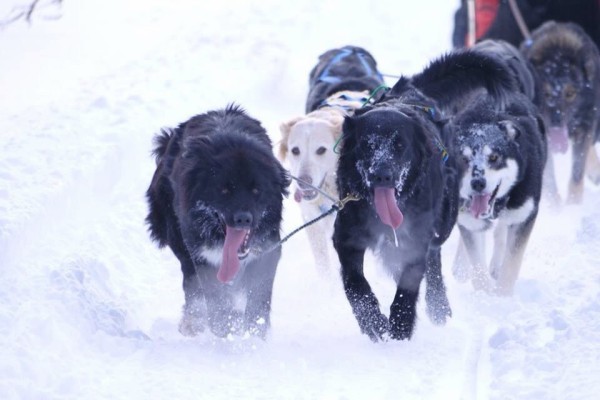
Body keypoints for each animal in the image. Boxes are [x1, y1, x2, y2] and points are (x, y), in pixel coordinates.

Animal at [145, 104, 288, 340]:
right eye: (224, 190)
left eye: (256, 190)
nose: (243, 218)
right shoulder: (202, 255)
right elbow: (213, 297)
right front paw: (224, 325)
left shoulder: (267, 250)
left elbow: (258, 296)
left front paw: (254, 332)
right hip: (180, 241)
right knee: (191, 285)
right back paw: (193, 322)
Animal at [336, 48, 516, 340]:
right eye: (367, 144)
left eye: (400, 145)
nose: (382, 174)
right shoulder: (346, 238)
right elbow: (355, 284)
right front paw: (372, 321)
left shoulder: (417, 238)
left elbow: (408, 285)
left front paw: (400, 325)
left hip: (445, 220)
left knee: (433, 259)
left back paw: (438, 305)